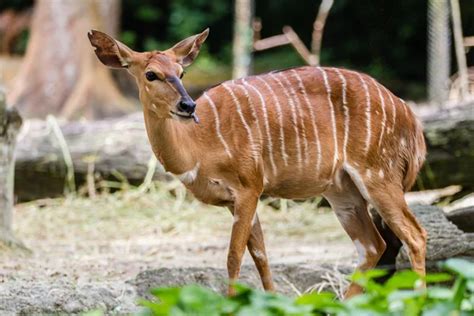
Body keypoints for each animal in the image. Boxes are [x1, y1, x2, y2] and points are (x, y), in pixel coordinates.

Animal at [88, 28, 426, 298]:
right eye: (150, 74)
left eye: (181, 73)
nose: (187, 105)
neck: (200, 147)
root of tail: (408, 115)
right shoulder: (235, 200)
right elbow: (261, 255)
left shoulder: (249, 186)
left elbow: (234, 256)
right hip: (342, 190)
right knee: (373, 245)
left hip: (377, 174)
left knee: (414, 235)